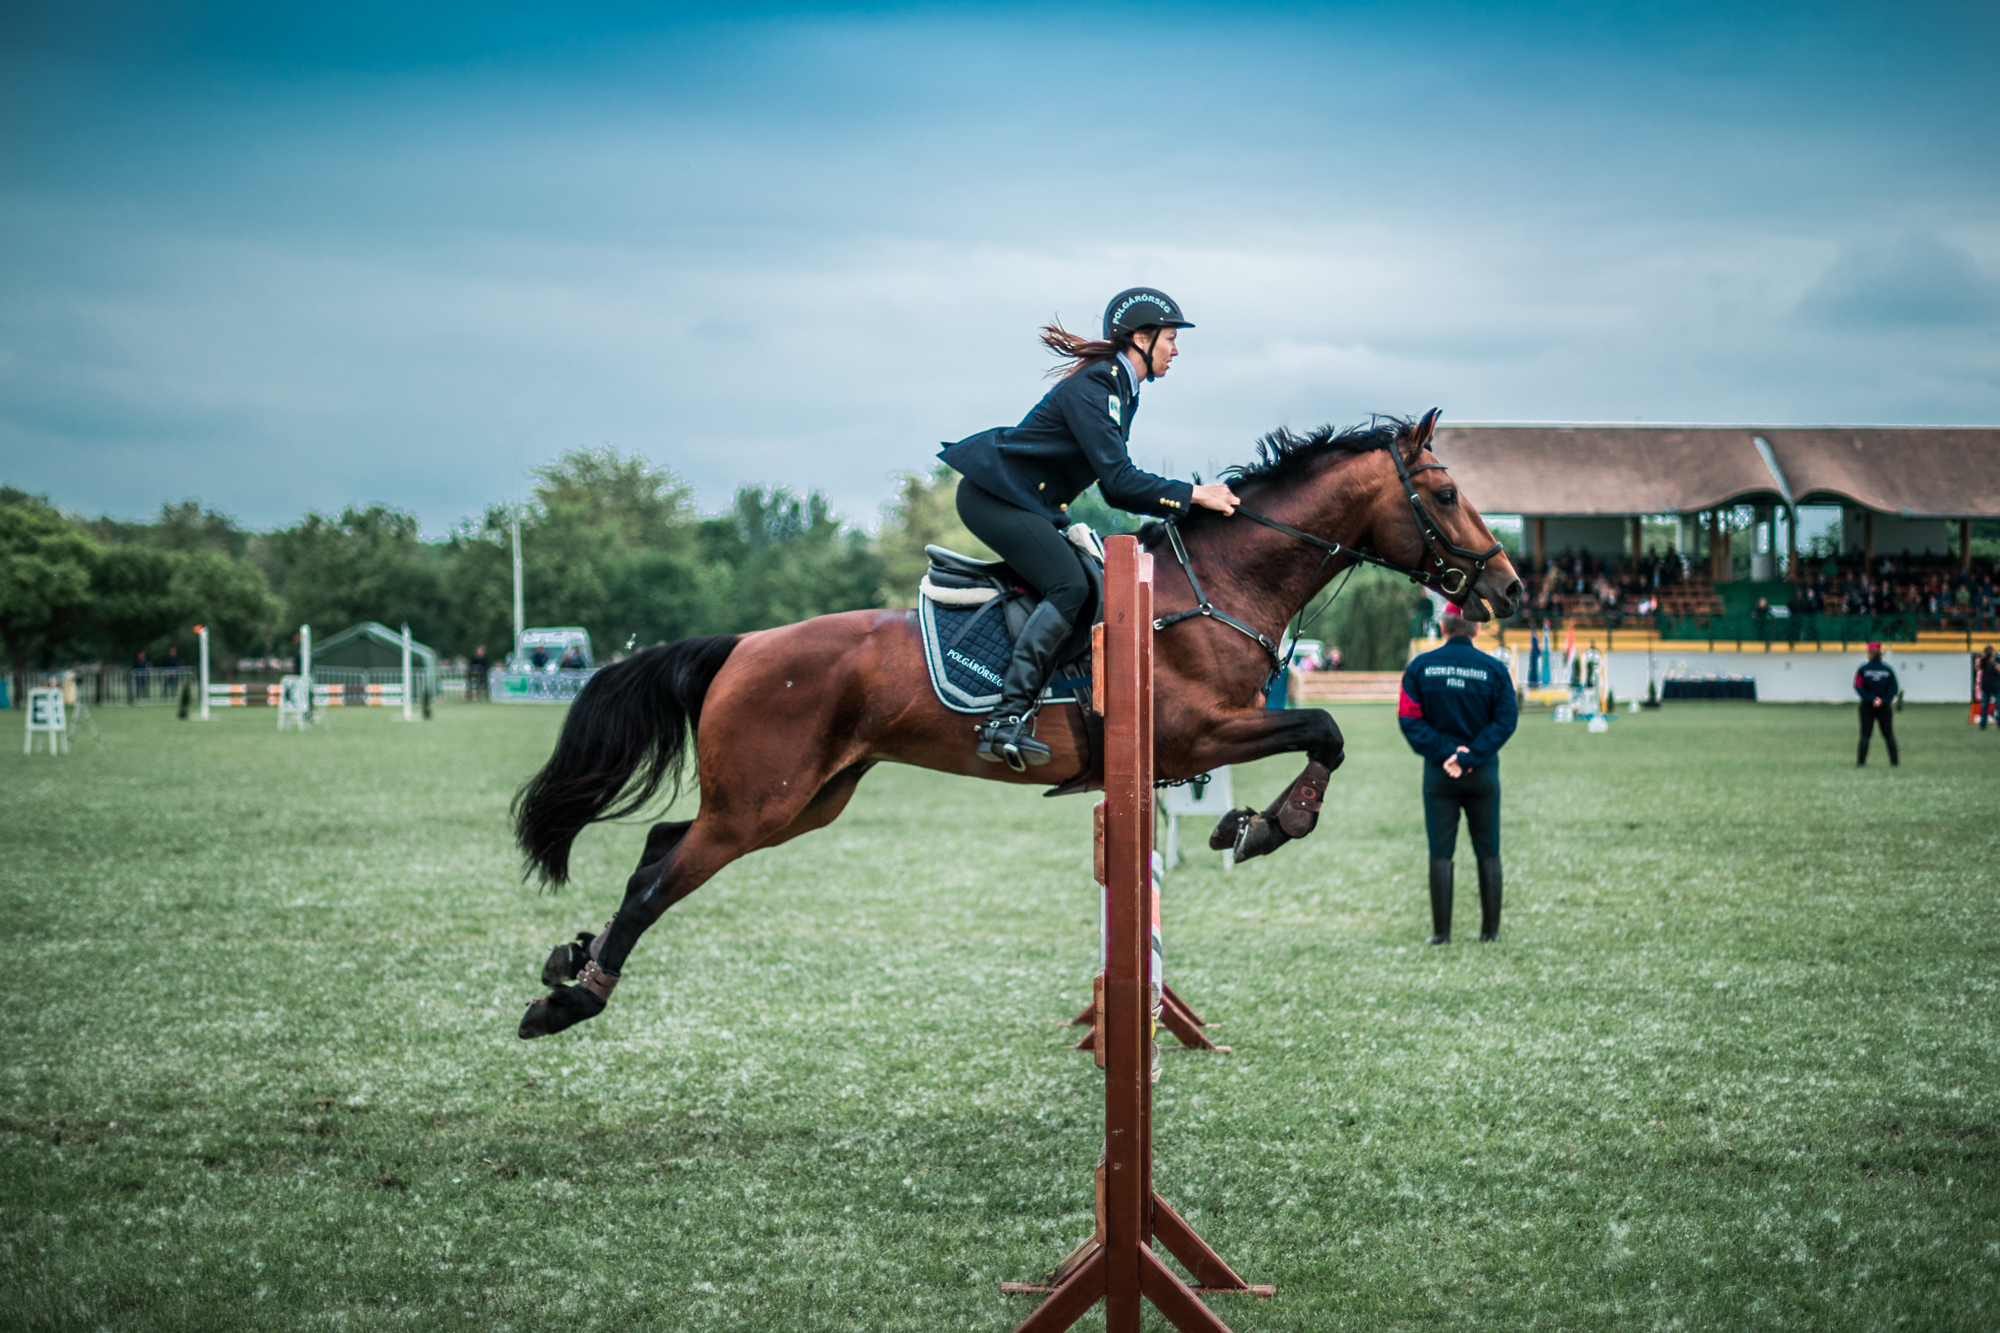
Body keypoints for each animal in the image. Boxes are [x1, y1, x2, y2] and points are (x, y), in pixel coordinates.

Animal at [512, 410, 1512, 1032]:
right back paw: (572, 999)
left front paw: (1250, 822)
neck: (1215, 586)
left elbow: (1319, 736)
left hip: (802, 802)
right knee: (658, 878)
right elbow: (1325, 732)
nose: (1505, 586)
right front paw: (1268, 825)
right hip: (761, 803)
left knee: (659, 845)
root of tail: (744, 643)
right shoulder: (1196, 735)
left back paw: (573, 959)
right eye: (1448, 494)